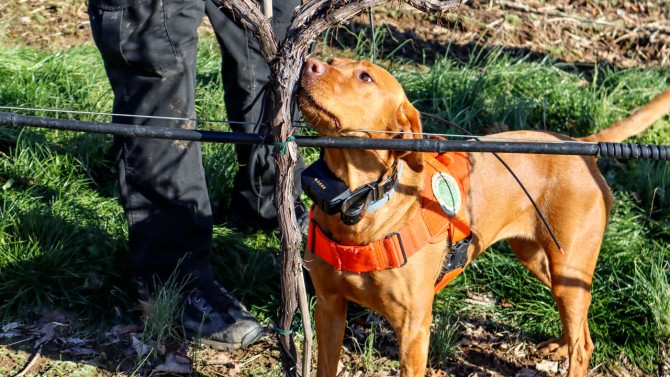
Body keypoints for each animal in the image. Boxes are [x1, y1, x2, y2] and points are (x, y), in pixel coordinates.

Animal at [300, 56, 670, 376]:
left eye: (365, 77)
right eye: (332, 61)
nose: (308, 63)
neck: (358, 205)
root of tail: (579, 144)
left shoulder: (413, 328)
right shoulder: (329, 307)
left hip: (569, 266)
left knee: (584, 346)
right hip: (543, 262)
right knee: (582, 325)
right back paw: (562, 343)